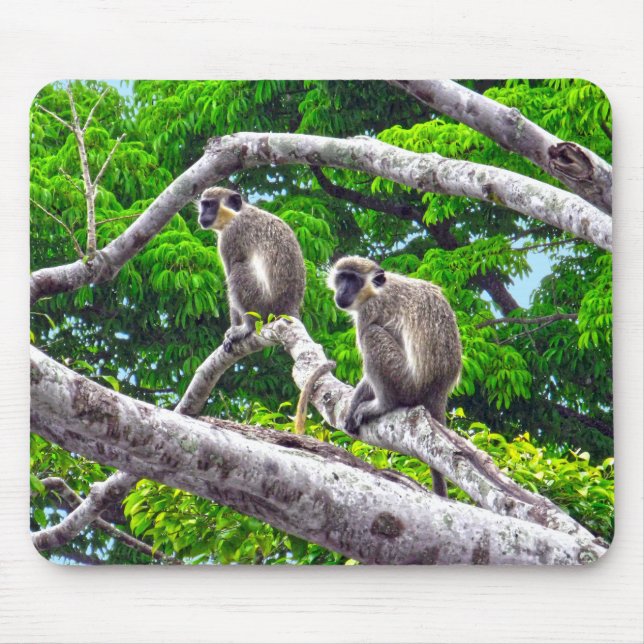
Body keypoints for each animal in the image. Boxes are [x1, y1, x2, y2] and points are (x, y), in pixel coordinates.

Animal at [198, 187, 306, 353]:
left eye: (210, 205)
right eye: (203, 205)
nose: (202, 215)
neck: (236, 214)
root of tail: (289, 307)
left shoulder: (229, 236)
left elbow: (230, 273)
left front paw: (235, 330)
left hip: (263, 305)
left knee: (238, 269)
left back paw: (249, 327)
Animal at [328, 256, 462, 497]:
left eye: (353, 279)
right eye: (342, 277)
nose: (342, 291)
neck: (376, 290)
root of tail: (438, 390)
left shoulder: (369, 311)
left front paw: (355, 403)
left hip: (405, 382)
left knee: (372, 334)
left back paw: (382, 405)